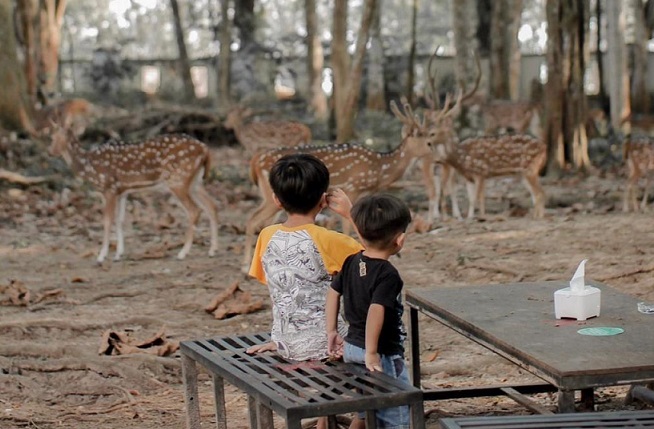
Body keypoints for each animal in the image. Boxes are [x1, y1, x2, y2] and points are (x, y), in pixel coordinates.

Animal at [47, 123, 220, 262]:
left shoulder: (109, 188)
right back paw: (212, 250)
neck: (89, 166)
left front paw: (101, 256)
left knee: (194, 210)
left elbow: (107, 221)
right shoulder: (122, 191)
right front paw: (118, 254)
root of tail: (205, 148)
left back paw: (183, 253)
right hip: (195, 181)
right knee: (211, 205)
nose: (51, 152)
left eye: (65, 136)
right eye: (51, 136)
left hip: (178, 179)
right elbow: (120, 220)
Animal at [242, 99, 436, 270]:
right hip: (270, 197)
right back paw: (245, 267)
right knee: (252, 219)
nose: (437, 154)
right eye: (428, 142)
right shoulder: (352, 188)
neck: (378, 169)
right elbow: (347, 227)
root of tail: (255, 162)